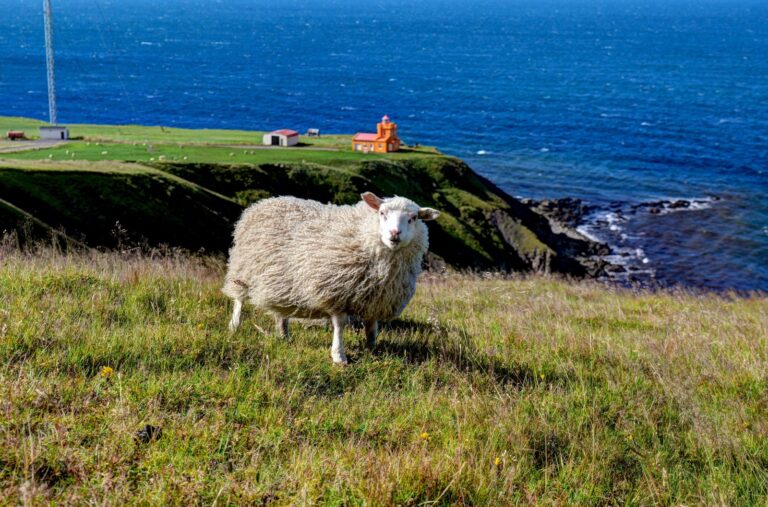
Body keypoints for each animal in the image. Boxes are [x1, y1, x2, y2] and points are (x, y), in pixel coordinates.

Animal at [222, 192, 440, 364]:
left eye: (413, 217)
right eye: (382, 213)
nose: (395, 234)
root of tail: (265, 202)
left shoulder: (376, 300)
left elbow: (371, 327)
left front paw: (372, 349)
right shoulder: (336, 292)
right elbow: (340, 325)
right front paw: (339, 356)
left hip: (282, 281)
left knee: (281, 312)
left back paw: (284, 335)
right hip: (243, 269)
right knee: (239, 300)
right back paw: (234, 326)